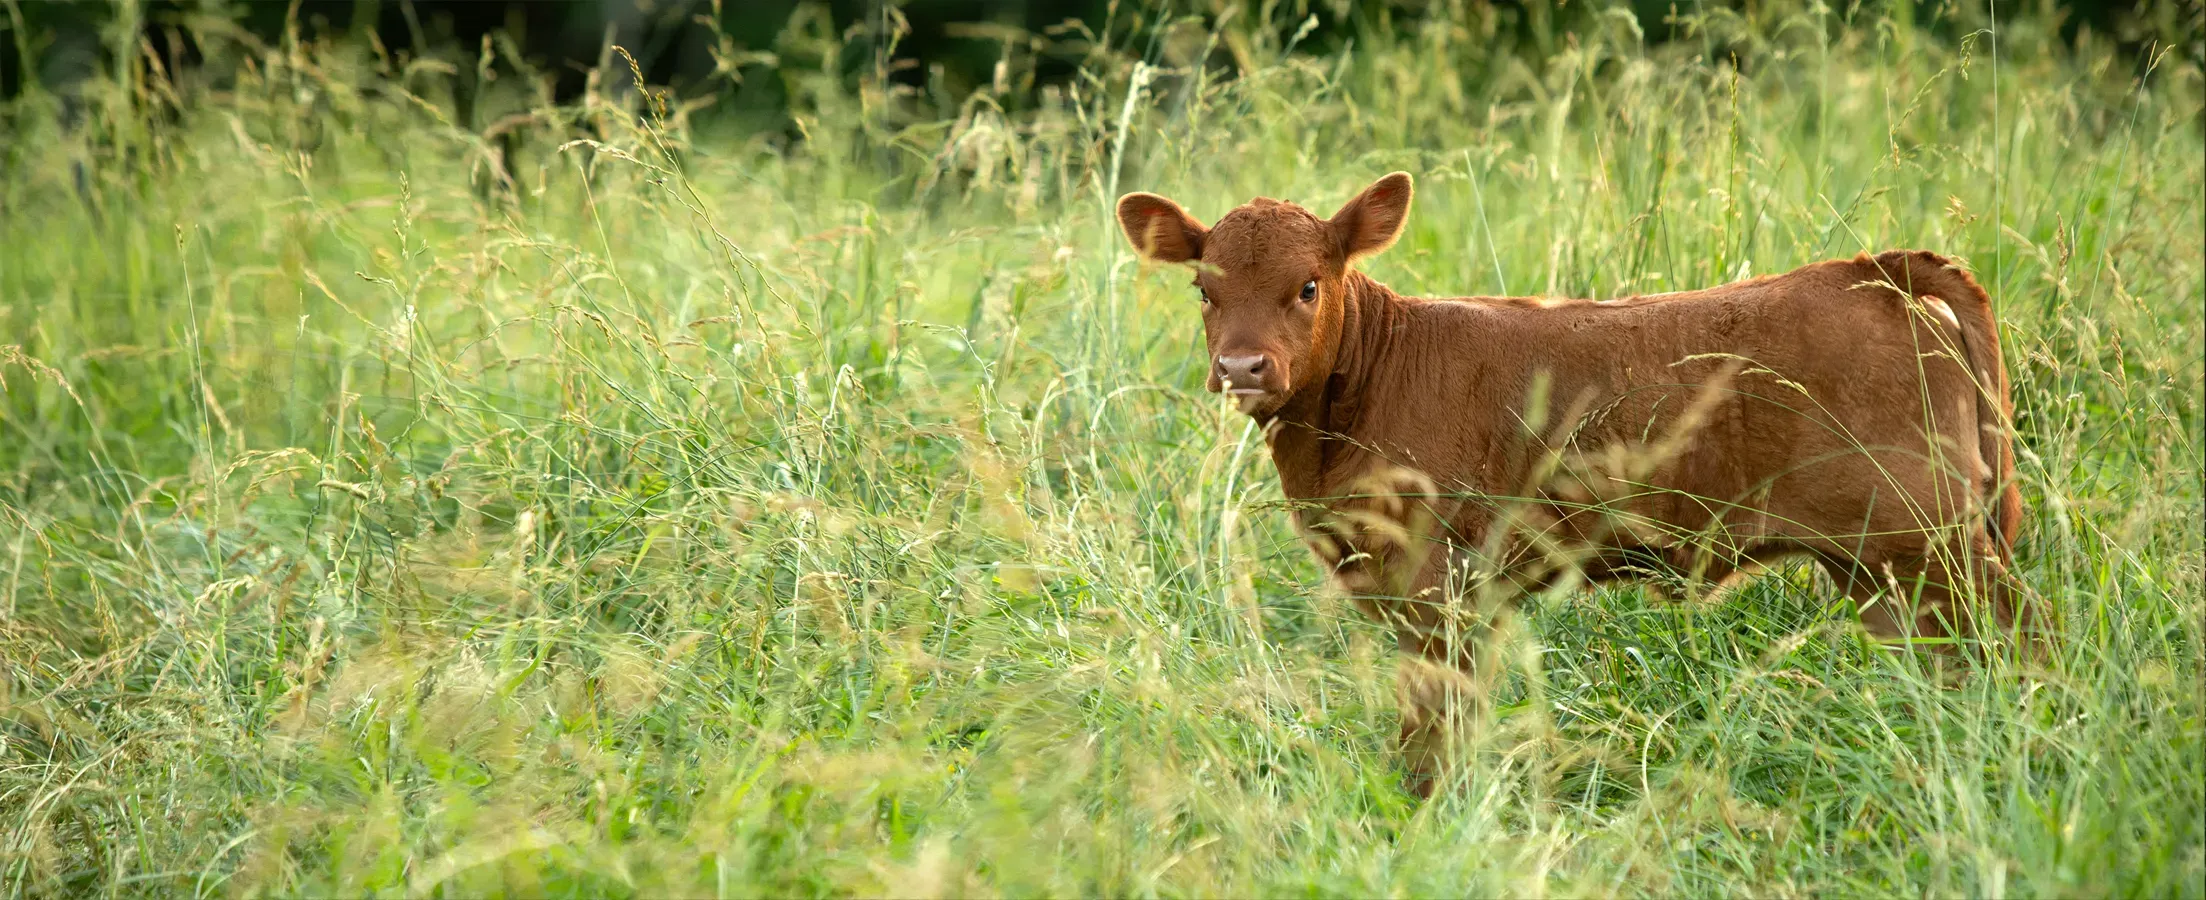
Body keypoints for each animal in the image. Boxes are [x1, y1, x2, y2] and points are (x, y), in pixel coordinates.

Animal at [1116, 172, 2035, 796]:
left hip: (1932, 540)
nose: (1242, 367)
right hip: (1877, 564)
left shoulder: (1438, 587)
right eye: (1203, 289)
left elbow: (1433, 727)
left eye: (1308, 286)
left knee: (2020, 638)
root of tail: (1868, 272)